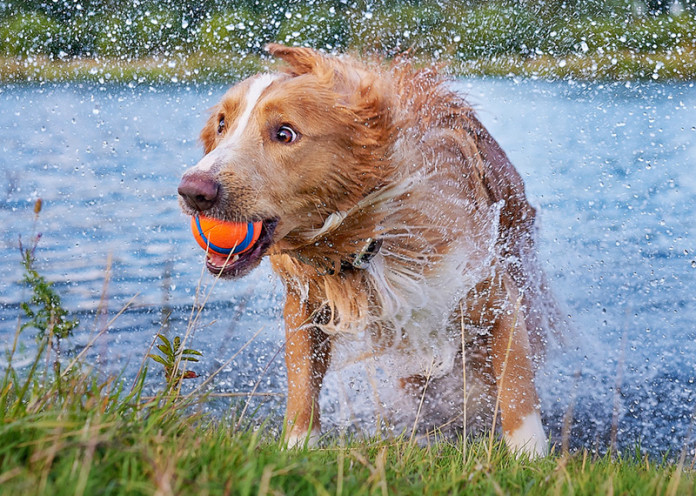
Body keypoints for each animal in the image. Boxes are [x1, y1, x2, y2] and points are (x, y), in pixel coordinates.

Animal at [179, 44, 560, 460]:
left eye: (285, 133)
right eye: (221, 124)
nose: (193, 190)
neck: (365, 239)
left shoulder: (492, 293)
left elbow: (517, 388)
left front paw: (530, 457)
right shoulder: (304, 305)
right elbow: (302, 387)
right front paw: (297, 449)